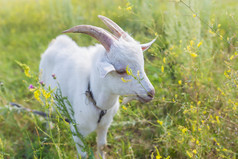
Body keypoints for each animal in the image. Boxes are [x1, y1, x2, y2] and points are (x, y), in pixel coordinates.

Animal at [40, 14, 155, 158]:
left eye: (142, 63)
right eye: (121, 71)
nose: (151, 92)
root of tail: (57, 42)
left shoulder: (104, 125)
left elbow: (102, 146)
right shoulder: (77, 130)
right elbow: (83, 155)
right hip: (44, 92)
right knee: (47, 110)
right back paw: (48, 130)